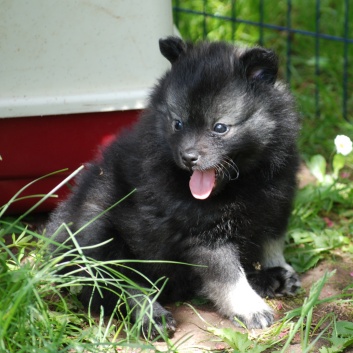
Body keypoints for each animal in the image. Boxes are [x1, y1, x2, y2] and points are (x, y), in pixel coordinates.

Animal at [46, 37, 300, 336]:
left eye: (220, 128)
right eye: (177, 123)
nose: (188, 157)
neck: (243, 180)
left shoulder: (277, 202)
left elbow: (272, 244)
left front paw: (277, 268)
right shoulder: (206, 235)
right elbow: (228, 276)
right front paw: (249, 307)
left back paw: (269, 278)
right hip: (97, 227)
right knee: (118, 284)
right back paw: (150, 315)